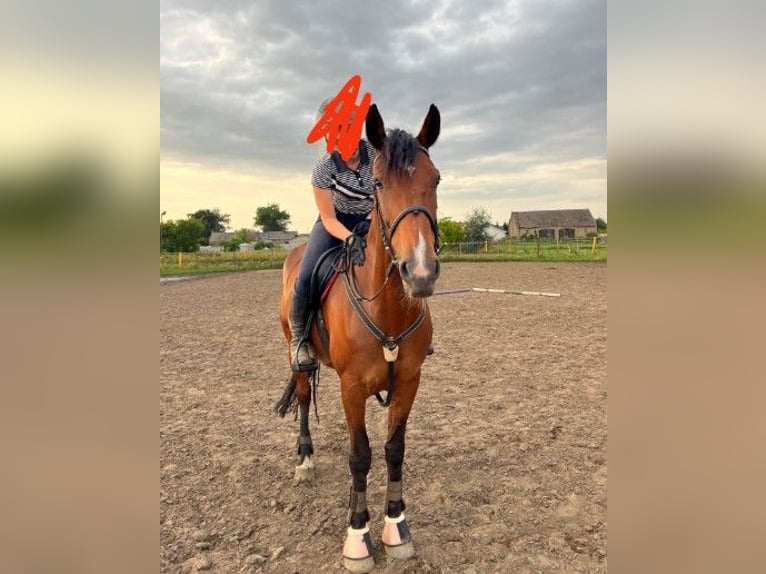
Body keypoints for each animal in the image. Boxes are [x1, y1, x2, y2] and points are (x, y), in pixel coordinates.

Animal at [275, 103, 442, 573]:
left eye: (436, 179)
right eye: (380, 183)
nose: (419, 273)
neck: (386, 311)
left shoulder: (408, 382)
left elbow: (393, 449)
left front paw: (397, 528)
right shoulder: (351, 388)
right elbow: (360, 455)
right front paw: (358, 537)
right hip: (294, 350)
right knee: (304, 396)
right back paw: (305, 460)